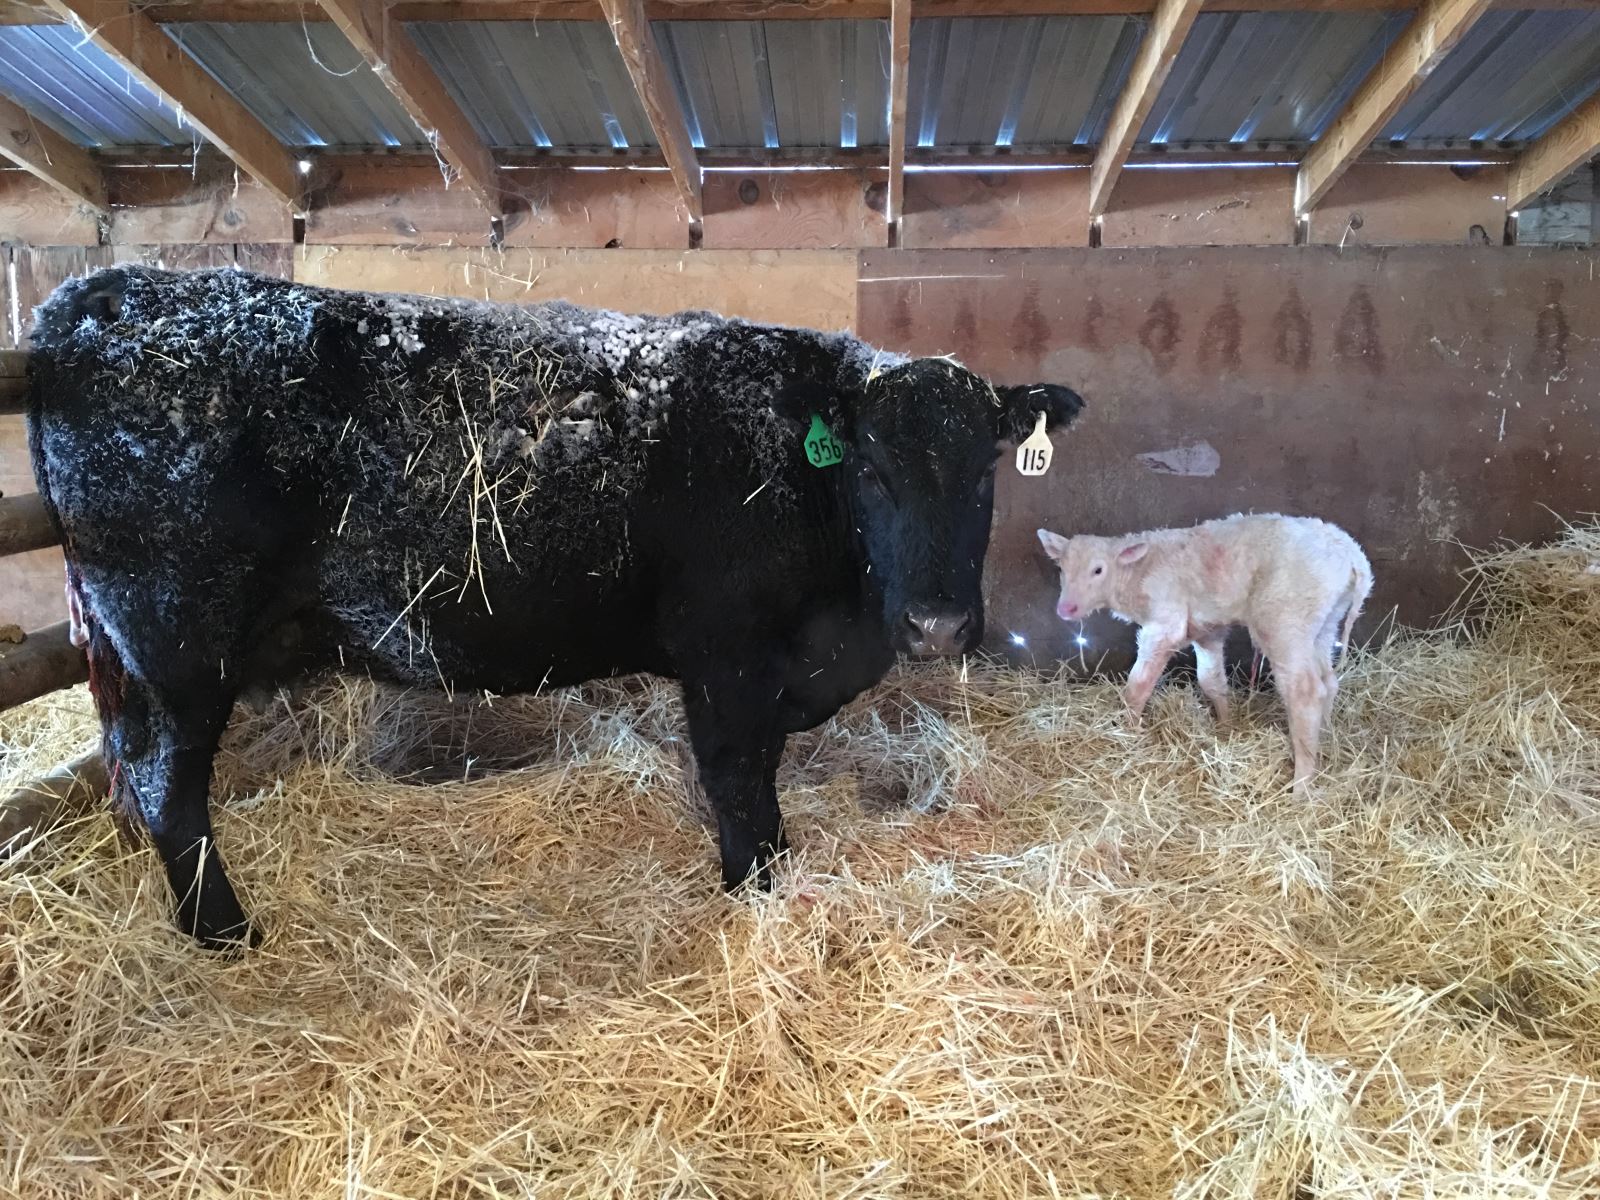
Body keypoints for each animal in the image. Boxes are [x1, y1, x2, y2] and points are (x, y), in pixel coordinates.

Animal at [25, 270, 1081, 947]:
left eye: (986, 468)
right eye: (870, 468)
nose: (937, 625)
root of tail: (108, 292)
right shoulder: (728, 656)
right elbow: (739, 778)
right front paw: (757, 884)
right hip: (173, 639)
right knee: (165, 784)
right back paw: (222, 932)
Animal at [1036, 515, 1376, 800]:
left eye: (1098, 570)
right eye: (1062, 570)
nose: (1065, 609)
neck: (1139, 572)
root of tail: (1352, 554)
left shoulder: (1166, 623)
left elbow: (1137, 687)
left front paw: (1128, 732)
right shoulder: (1206, 629)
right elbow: (1211, 680)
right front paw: (1225, 726)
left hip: (1285, 620)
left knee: (1305, 691)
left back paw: (1301, 785)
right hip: (1326, 620)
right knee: (1328, 681)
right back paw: (1325, 735)